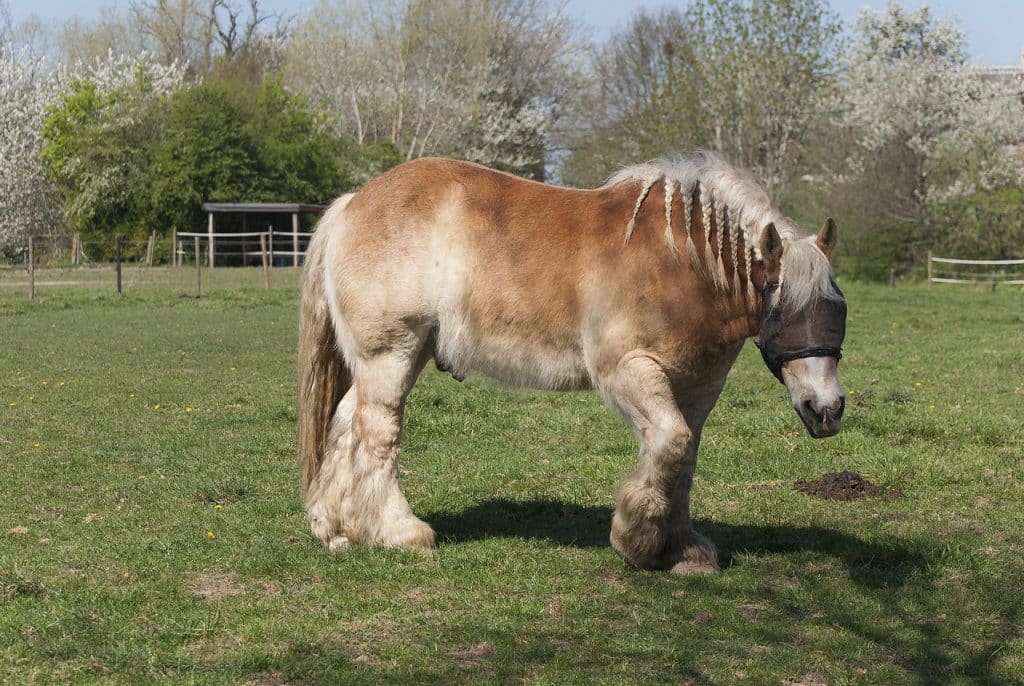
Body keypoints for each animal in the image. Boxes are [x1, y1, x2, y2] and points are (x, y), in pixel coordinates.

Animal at [296, 154, 847, 573]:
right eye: (784, 314)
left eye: (837, 310)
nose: (826, 410)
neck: (683, 264)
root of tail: (352, 203)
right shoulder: (625, 371)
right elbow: (669, 446)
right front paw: (637, 542)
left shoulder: (697, 387)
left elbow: (683, 458)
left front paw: (680, 548)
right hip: (391, 353)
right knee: (378, 434)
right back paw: (399, 531)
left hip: (387, 360)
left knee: (345, 423)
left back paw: (336, 528)